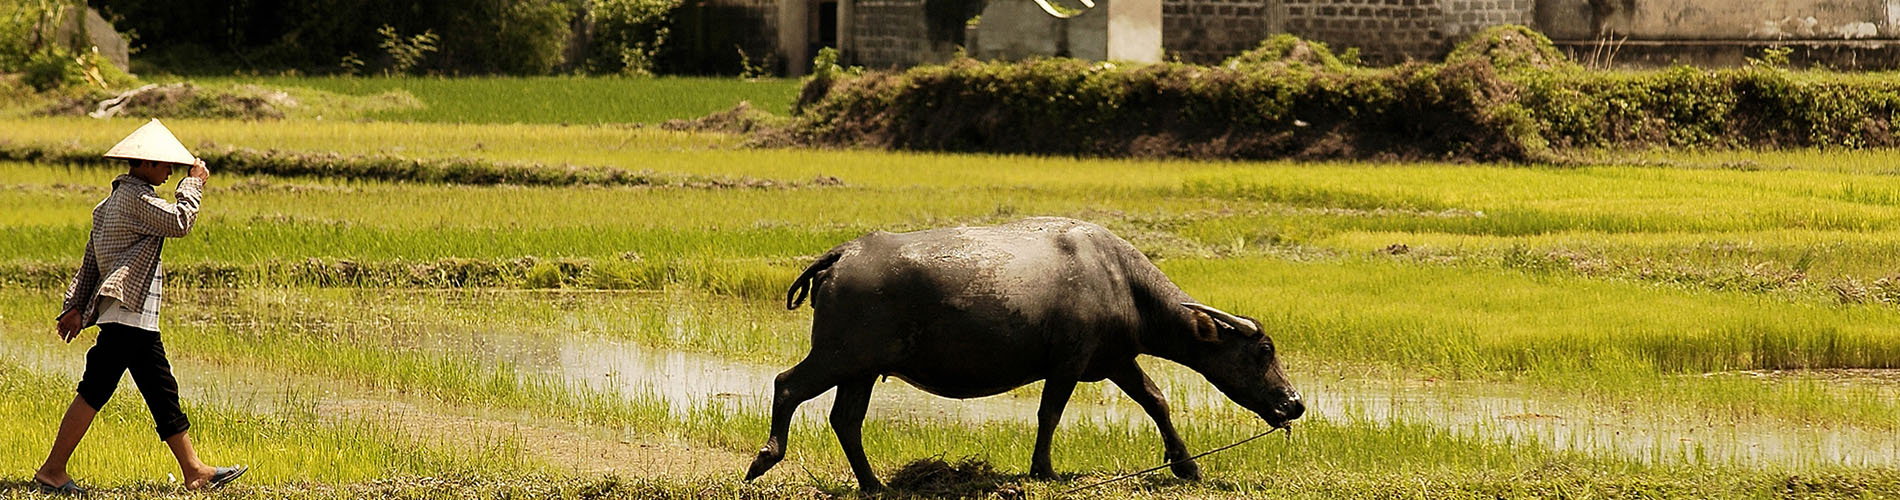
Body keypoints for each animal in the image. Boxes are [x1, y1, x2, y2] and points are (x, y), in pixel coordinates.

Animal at [741, 218, 1307, 490]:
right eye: (1263, 350)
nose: (1295, 403)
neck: (1122, 283)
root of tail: (842, 255)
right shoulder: (1069, 365)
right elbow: (1049, 414)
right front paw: (1043, 469)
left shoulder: (1114, 361)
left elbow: (1156, 401)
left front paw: (1187, 466)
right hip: (837, 356)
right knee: (787, 385)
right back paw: (764, 459)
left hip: (861, 368)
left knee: (845, 421)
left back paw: (874, 484)